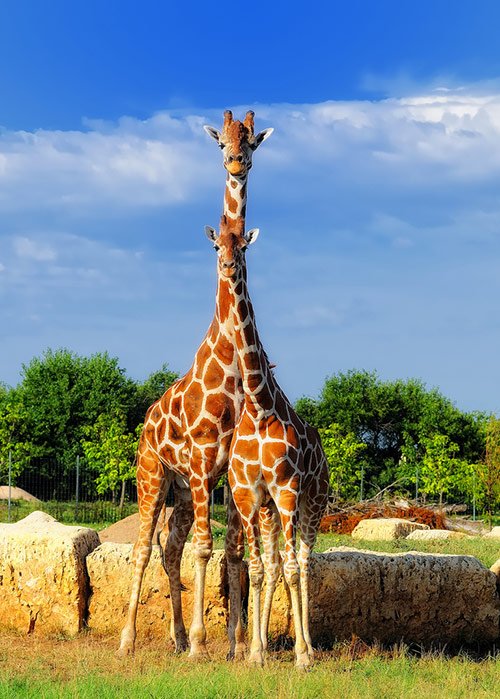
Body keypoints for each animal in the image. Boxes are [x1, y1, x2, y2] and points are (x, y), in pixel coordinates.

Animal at [118, 110, 274, 660]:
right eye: (221, 143)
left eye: (251, 141)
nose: (236, 164)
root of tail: (145, 422)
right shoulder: (206, 459)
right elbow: (208, 549)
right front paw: (209, 644)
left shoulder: (225, 469)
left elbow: (232, 552)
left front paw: (234, 645)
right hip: (152, 477)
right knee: (144, 547)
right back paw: (129, 641)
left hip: (182, 492)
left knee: (170, 550)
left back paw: (178, 636)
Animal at [203, 216, 328, 668]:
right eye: (216, 245)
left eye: (243, 246)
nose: (226, 266)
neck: (259, 406)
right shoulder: (248, 493)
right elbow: (257, 569)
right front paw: (255, 651)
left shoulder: (287, 489)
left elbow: (291, 568)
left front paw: (302, 655)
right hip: (272, 508)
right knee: (275, 564)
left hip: (313, 501)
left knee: (303, 563)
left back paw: (307, 645)